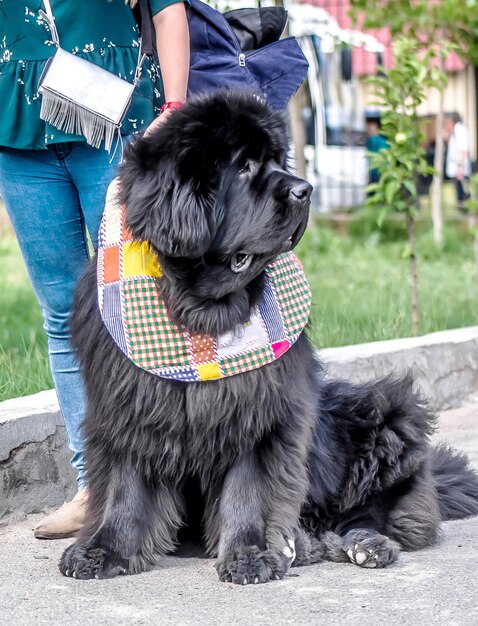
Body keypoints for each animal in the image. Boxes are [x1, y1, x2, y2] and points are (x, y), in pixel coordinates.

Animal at [59, 91, 478, 580]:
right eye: (243, 166)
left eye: (277, 161)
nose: (305, 190)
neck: (203, 313)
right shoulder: (130, 404)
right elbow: (125, 486)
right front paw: (102, 549)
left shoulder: (263, 411)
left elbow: (251, 487)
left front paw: (250, 554)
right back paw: (306, 543)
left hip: (388, 415)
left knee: (380, 513)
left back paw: (365, 544)